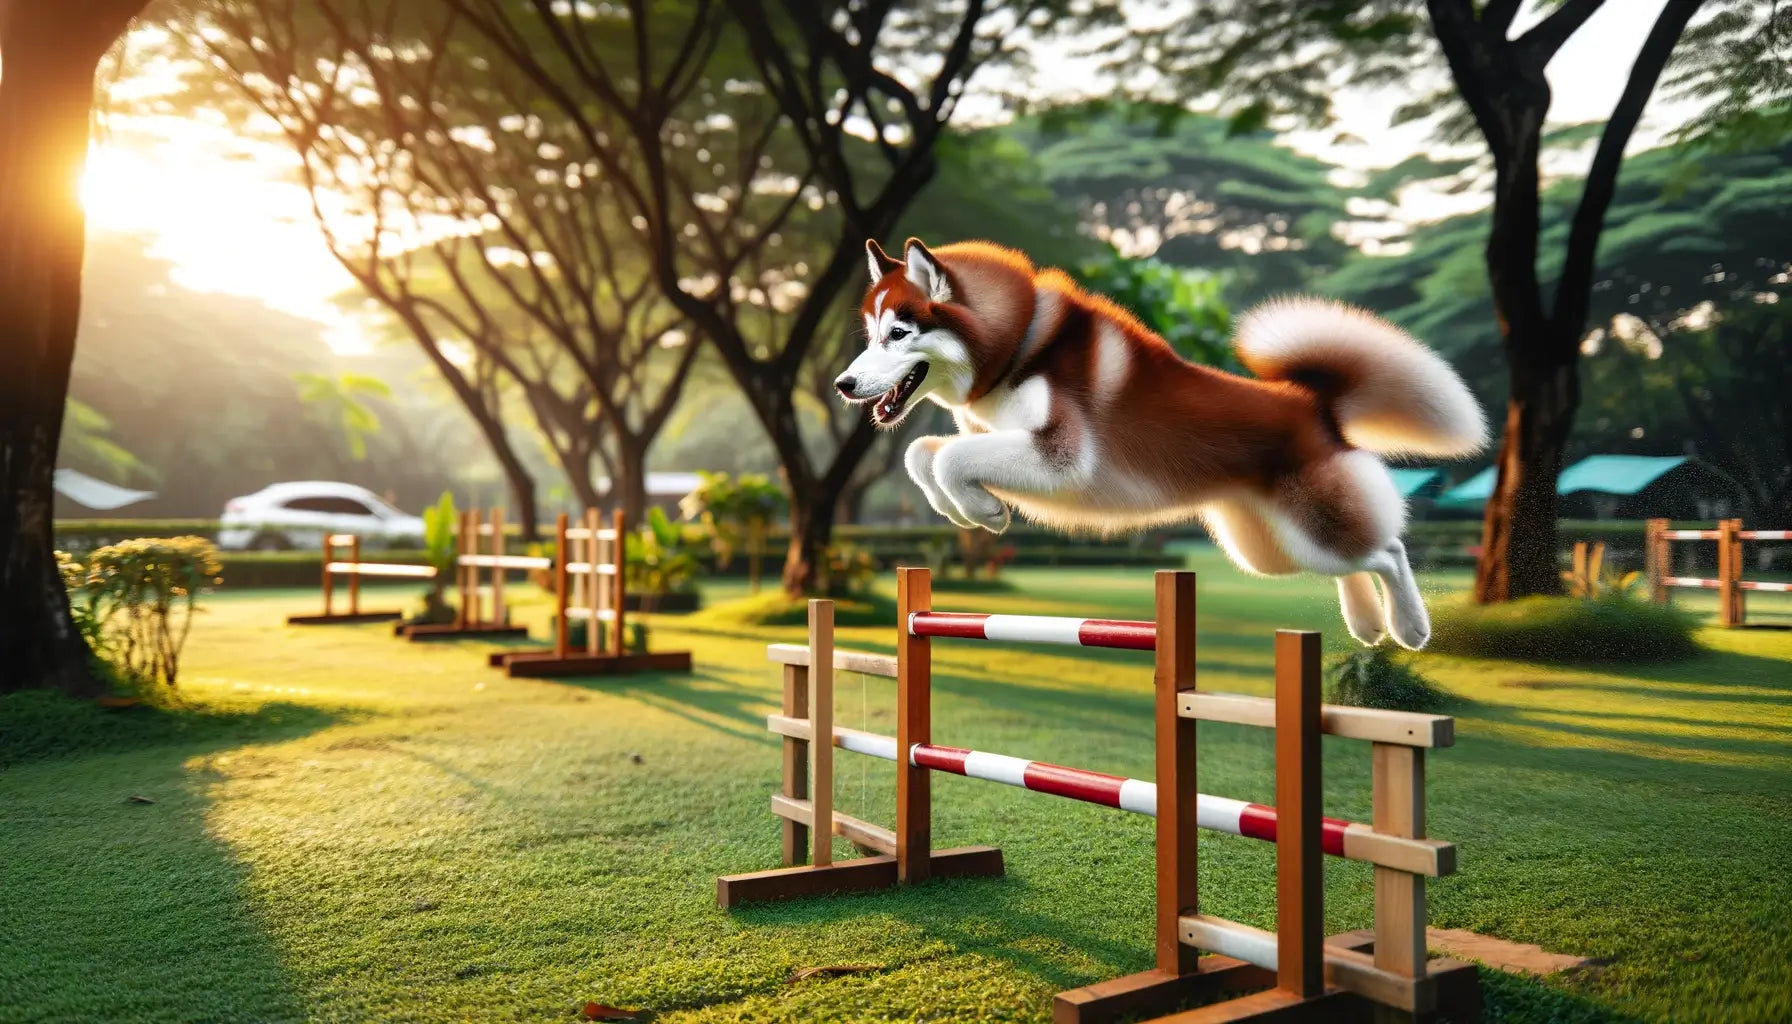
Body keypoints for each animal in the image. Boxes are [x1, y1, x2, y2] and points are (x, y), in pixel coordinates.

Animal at [838, 240, 1483, 649]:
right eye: (870, 335)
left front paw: (983, 509)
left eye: (899, 333)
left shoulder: (1061, 457)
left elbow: (948, 455)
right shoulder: (998, 438)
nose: (844, 384)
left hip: (1310, 530)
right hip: (1267, 549)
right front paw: (972, 508)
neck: (1018, 344)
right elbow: (921, 454)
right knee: (1351, 562)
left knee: (1387, 550)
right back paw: (1367, 624)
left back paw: (1410, 627)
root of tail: (1310, 400)